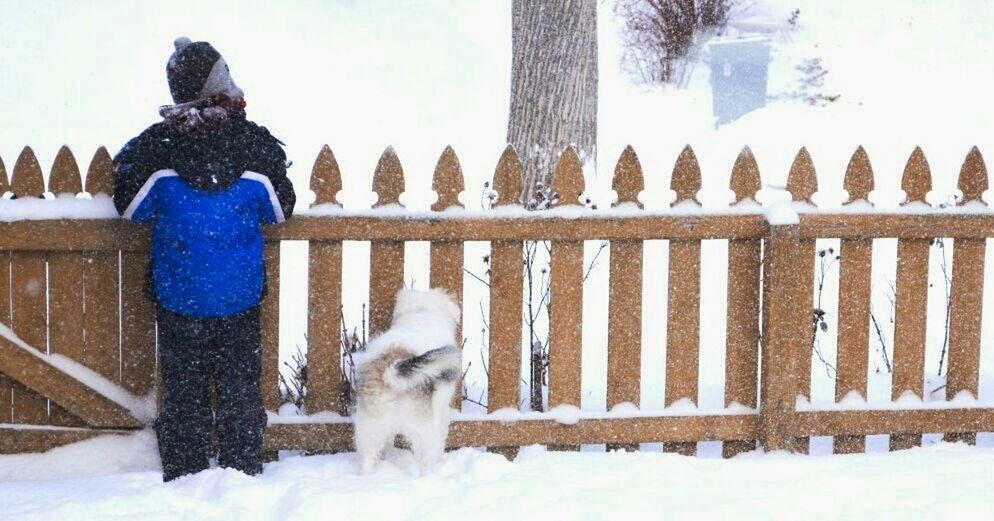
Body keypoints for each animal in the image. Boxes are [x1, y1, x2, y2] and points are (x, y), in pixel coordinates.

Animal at [352, 286, 462, 474]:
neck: (422, 312)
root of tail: (390, 369)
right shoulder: (442, 408)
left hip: (369, 426)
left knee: (368, 456)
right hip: (423, 426)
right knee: (426, 457)